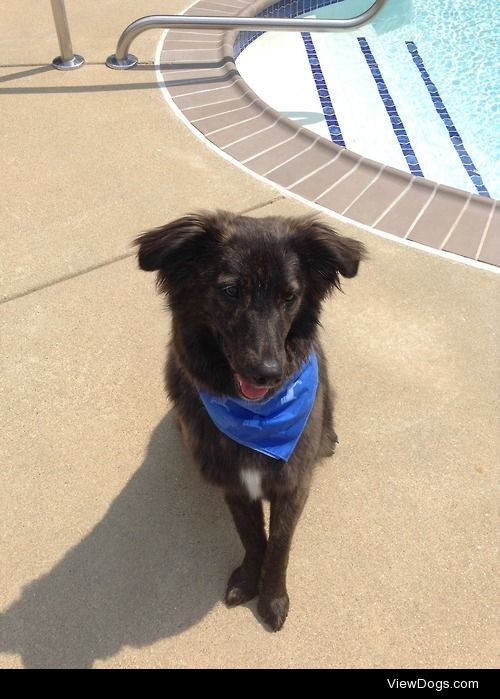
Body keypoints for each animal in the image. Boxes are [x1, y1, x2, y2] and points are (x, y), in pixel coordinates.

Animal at [135, 211, 366, 632]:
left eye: (289, 296)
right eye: (229, 290)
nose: (267, 373)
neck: (257, 421)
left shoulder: (293, 484)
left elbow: (279, 544)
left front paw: (272, 597)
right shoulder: (234, 483)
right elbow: (253, 536)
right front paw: (248, 580)